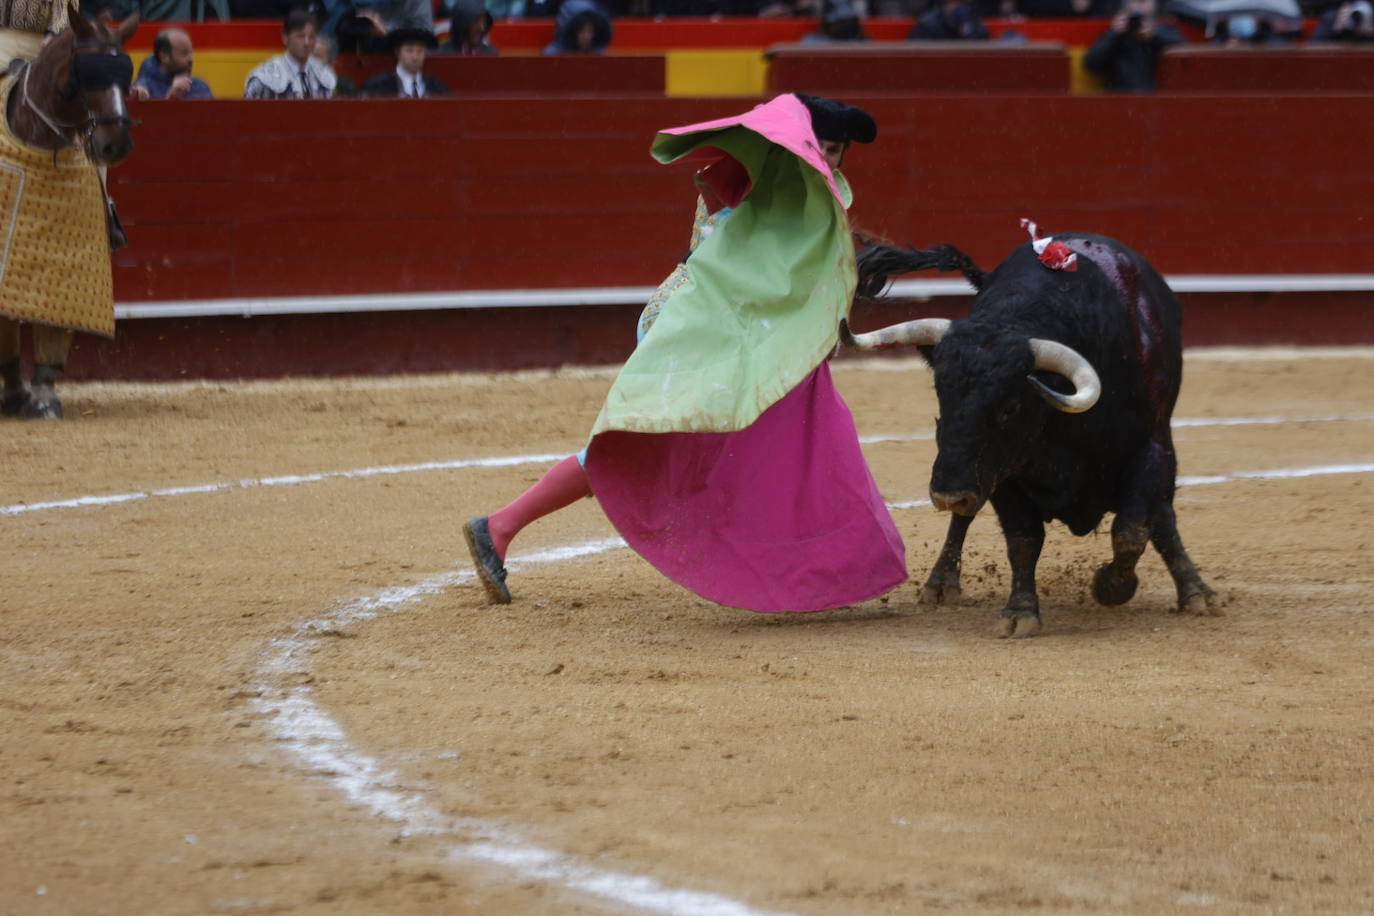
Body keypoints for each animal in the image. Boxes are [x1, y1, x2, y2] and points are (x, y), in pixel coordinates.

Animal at [0, 12, 138, 420]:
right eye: (84, 76)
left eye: (126, 77)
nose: (116, 144)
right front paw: (17, 394)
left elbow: (53, 331)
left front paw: (42, 397)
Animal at [840, 233, 1220, 642]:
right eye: (942, 394)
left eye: (1009, 408)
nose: (947, 494)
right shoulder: (1002, 470)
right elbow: (1023, 541)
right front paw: (1019, 612)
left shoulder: (1150, 448)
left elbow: (1132, 530)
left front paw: (1109, 587)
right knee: (965, 518)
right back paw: (941, 583)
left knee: (1161, 515)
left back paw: (1196, 592)